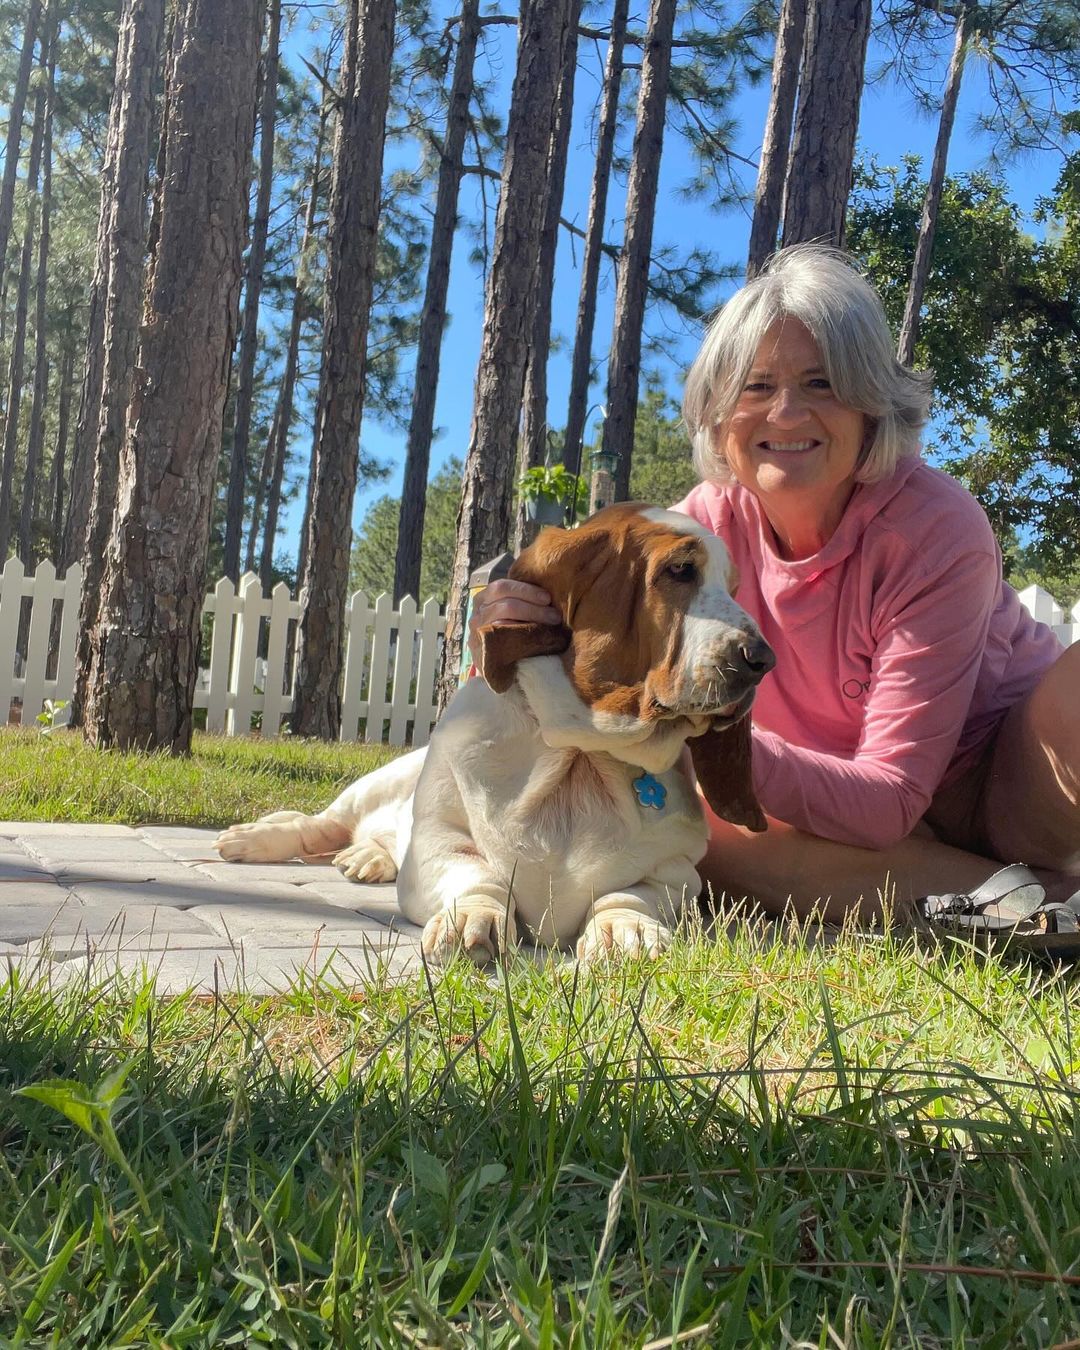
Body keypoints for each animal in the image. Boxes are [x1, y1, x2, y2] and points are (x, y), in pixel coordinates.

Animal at [217, 504, 777, 961]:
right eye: (680, 570)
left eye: (733, 589)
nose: (761, 659)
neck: (583, 751)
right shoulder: (439, 843)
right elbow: (476, 874)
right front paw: (472, 917)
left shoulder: (678, 875)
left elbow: (631, 892)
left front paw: (627, 930)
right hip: (377, 784)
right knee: (317, 824)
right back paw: (251, 840)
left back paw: (367, 858)